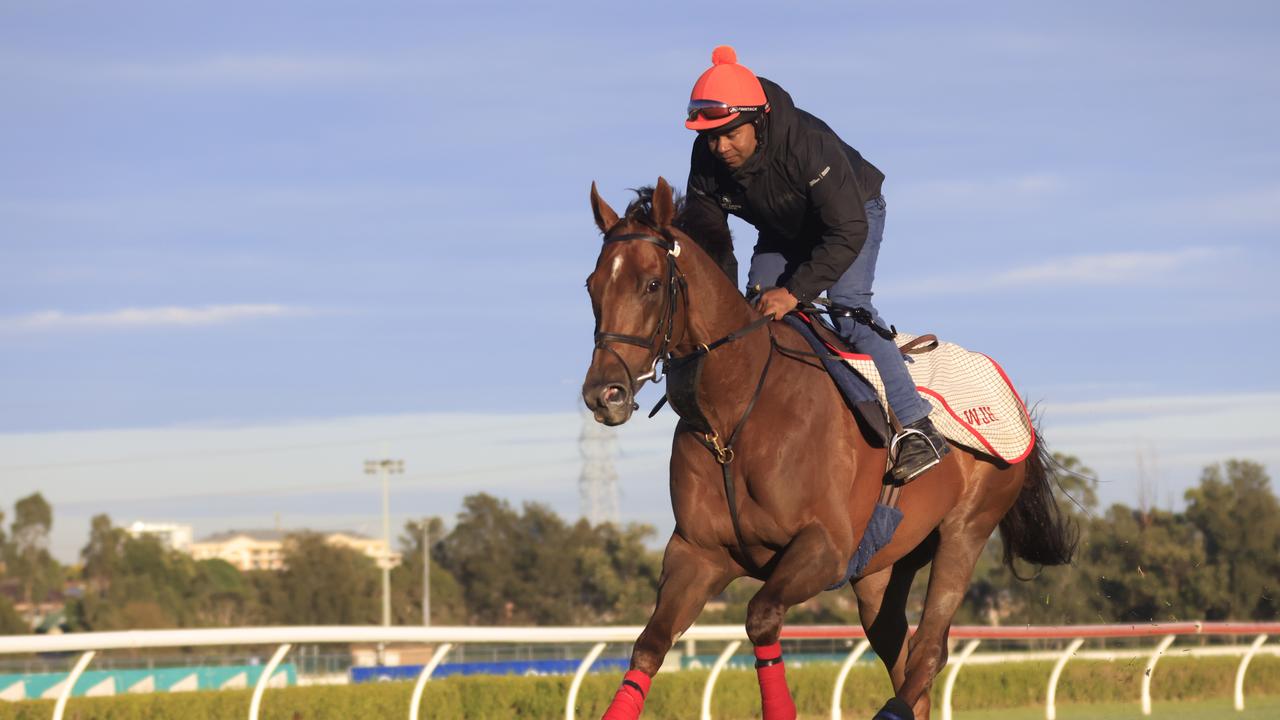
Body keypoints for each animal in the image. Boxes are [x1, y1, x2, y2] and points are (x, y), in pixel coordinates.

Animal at [581, 178, 1070, 717]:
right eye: (592, 285)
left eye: (651, 284)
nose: (604, 393)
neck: (735, 413)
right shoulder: (698, 553)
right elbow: (649, 646)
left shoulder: (826, 549)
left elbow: (761, 617)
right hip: (881, 568)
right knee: (904, 657)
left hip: (966, 531)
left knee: (927, 652)